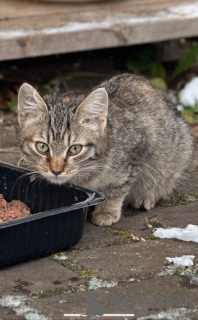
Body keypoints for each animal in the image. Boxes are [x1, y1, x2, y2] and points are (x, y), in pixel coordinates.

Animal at [17, 74, 193, 226]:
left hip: (179, 152)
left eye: (74, 149)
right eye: (42, 147)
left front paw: (107, 211)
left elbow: (117, 188)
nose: (56, 171)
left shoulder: (135, 156)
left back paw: (148, 195)